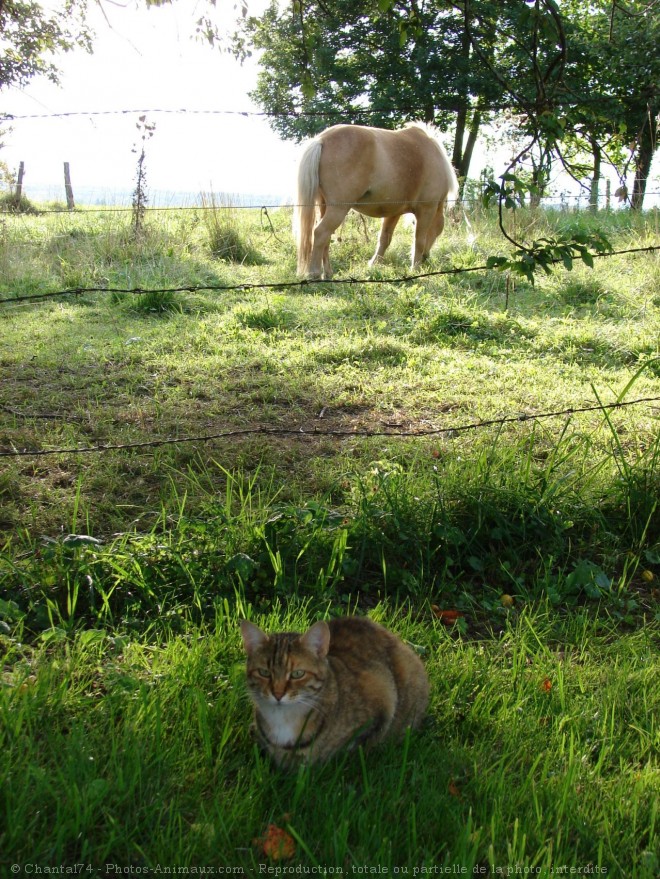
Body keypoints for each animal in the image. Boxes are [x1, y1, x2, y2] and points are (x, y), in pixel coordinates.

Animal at [296, 123, 458, 278]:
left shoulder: (393, 213)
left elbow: (384, 239)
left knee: (326, 238)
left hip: (324, 206)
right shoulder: (427, 210)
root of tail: (322, 139)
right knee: (320, 233)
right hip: (338, 209)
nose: (426, 258)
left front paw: (375, 264)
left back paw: (328, 273)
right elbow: (419, 240)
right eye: (438, 232)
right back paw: (314, 273)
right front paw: (415, 268)